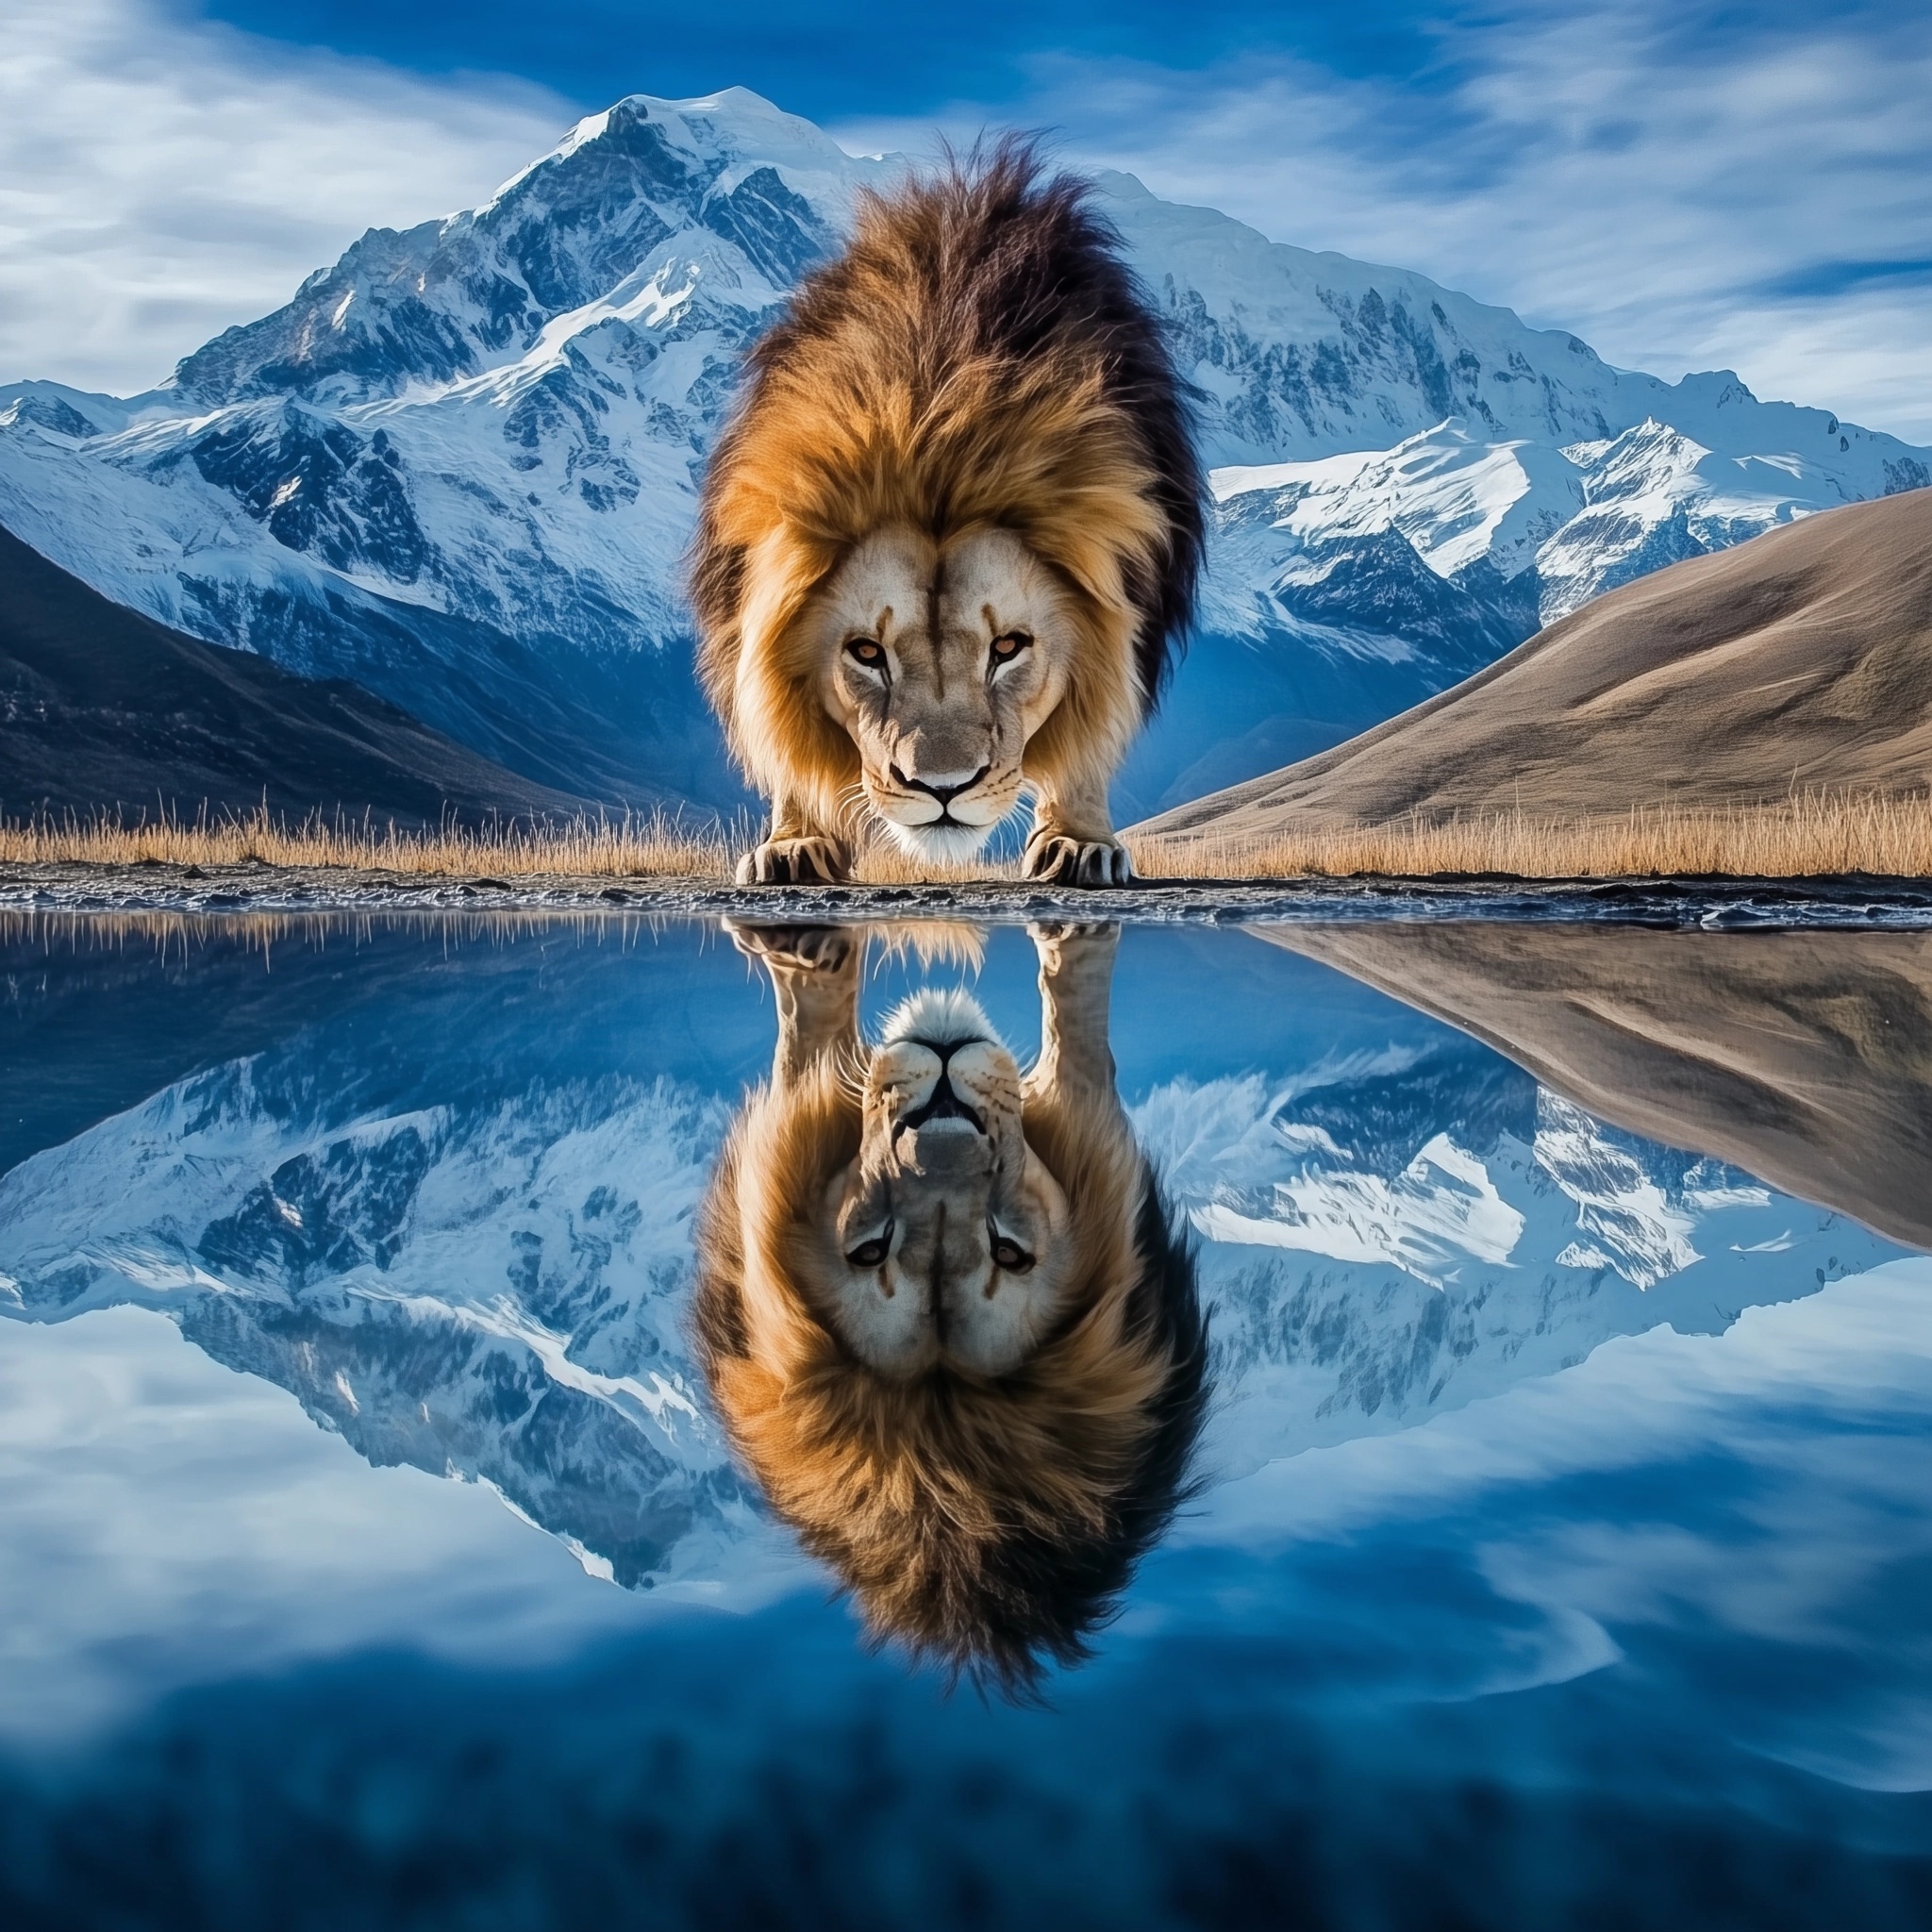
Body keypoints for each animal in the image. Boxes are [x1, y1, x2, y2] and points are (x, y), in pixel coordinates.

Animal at [695, 138, 1197, 889]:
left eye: (1009, 648)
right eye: (866, 654)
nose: (942, 789)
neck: (933, 408)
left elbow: (1093, 728)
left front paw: (1079, 842)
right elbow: (782, 733)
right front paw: (793, 843)